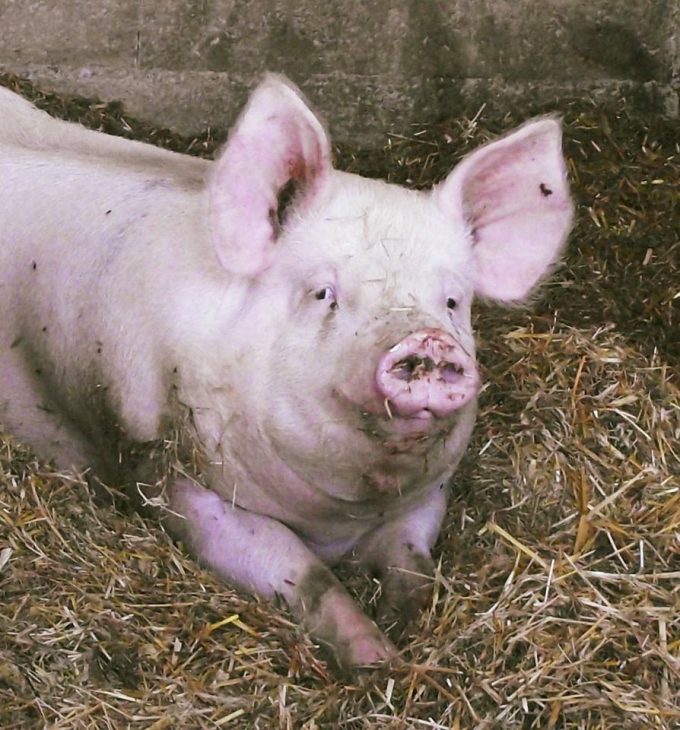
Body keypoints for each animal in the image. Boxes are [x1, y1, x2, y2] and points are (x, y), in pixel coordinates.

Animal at [0, 75, 573, 668]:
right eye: (323, 293)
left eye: (453, 302)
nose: (426, 339)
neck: (341, 514)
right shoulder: (177, 479)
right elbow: (300, 572)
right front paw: (378, 662)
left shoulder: (429, 491)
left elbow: (412, 557)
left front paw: (403, 625)